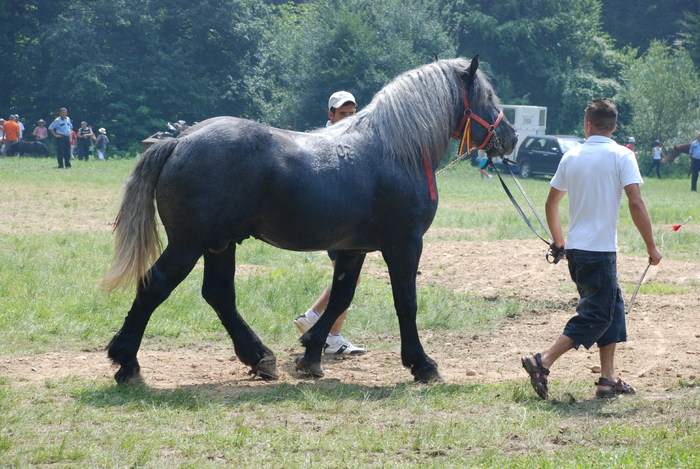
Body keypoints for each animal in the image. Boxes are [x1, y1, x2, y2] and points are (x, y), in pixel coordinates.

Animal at [101, 55, 516, 384]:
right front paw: (422, 364)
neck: (395, 150)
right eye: (487, 96)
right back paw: (127, 363)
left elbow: (341, 297)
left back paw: (259, 358)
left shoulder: (353, 249)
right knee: (155, 286)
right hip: (189, 244)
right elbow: (406, 301)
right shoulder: (405, 244)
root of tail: (180, 140)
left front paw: (311, 354)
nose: (510, 137)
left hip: (220, 244)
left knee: (218, 294)